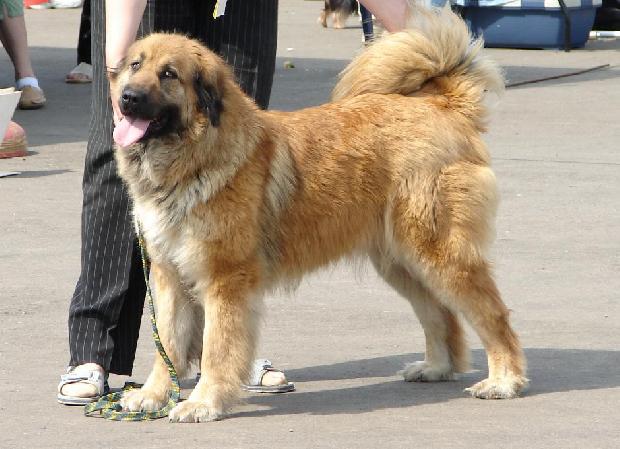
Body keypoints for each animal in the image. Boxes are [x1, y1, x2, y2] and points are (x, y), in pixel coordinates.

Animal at [110, 6, 528, 423]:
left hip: (438, 254)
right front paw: (153, 395)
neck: (193, 158)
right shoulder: (170, 275)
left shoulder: (224, 278)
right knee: (440, 315)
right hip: (401, 262)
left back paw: (503, 380)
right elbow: (167, 343)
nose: (128, 98)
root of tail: (441, 103)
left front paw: (203, 401)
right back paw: (436, 367)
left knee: (492, 316)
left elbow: (216, 348)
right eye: (135, 65)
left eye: (169, 74)